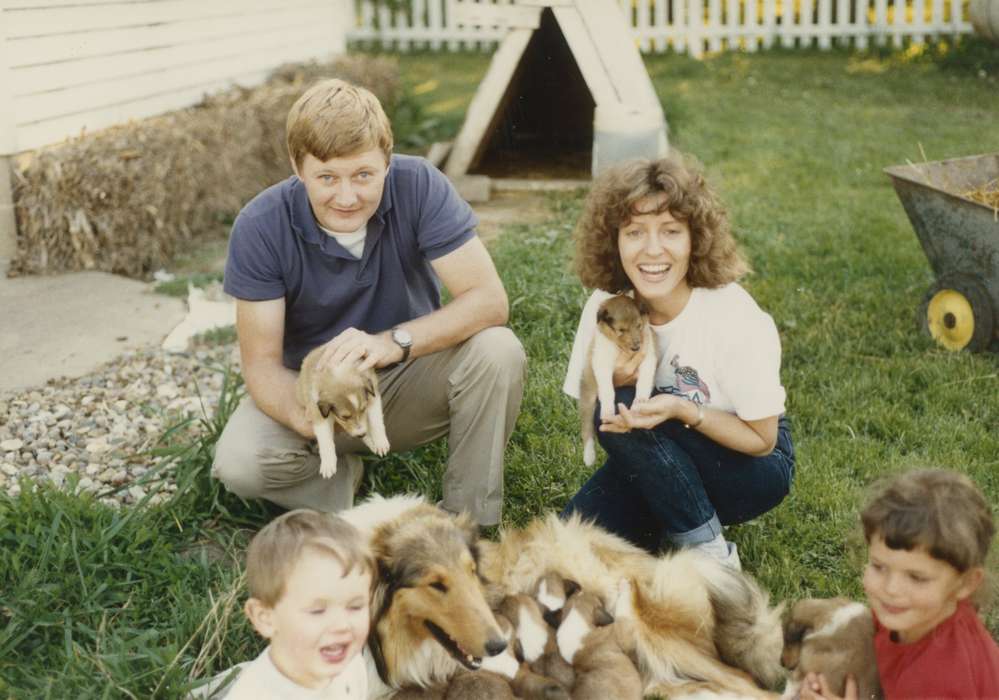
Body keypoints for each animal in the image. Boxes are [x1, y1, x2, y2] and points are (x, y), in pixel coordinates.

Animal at [294, 344, 388, 478]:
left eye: (363, 409)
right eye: (344, 417)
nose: (361, 434)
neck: (339, 372)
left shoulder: (373, 396)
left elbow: (376, 422)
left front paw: (381, 443)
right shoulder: (317, 411)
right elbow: (325, 438)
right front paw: (328, 465)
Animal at [580, 294, 656, 464]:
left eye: (639, 326)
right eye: (621, 330)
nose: (636, 347)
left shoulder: (648, 356)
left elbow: (644, 380)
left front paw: (641, 400)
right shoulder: (601, 362)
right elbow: (608, 390)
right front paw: (608, 410)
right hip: (587, 396)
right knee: (586, 428)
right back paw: (589, 457)